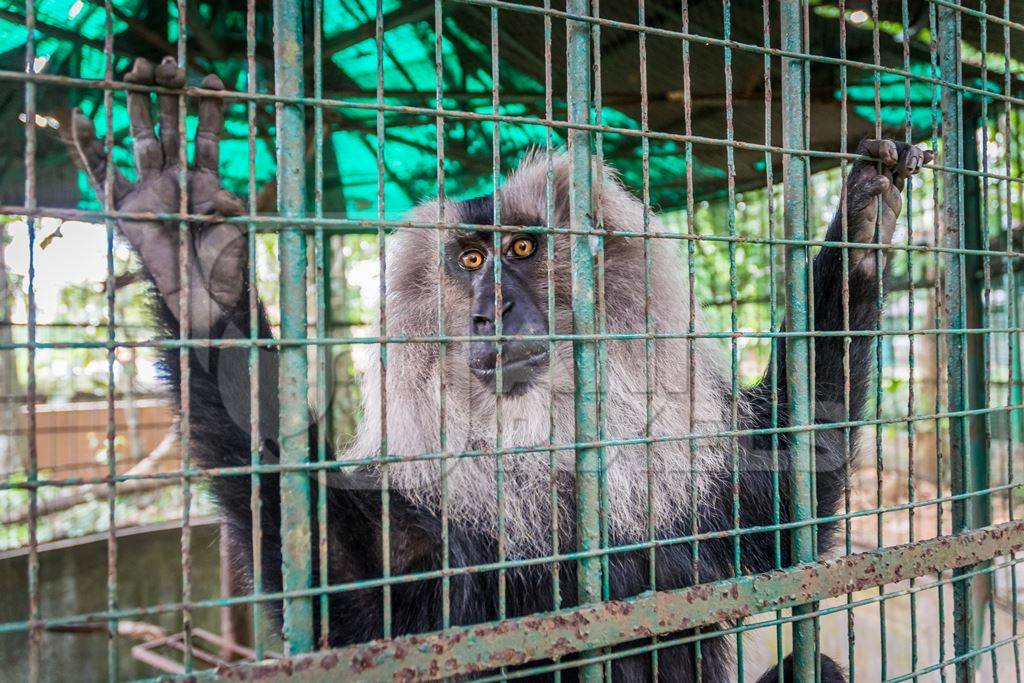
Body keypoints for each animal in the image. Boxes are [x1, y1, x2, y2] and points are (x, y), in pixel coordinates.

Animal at [70, 56, 937, 679]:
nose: (490, 311)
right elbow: (352, 589)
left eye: (521, 248)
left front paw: (863, 230)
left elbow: (791, 490)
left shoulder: (700, 480)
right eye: (468, 260)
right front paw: (193, 259)